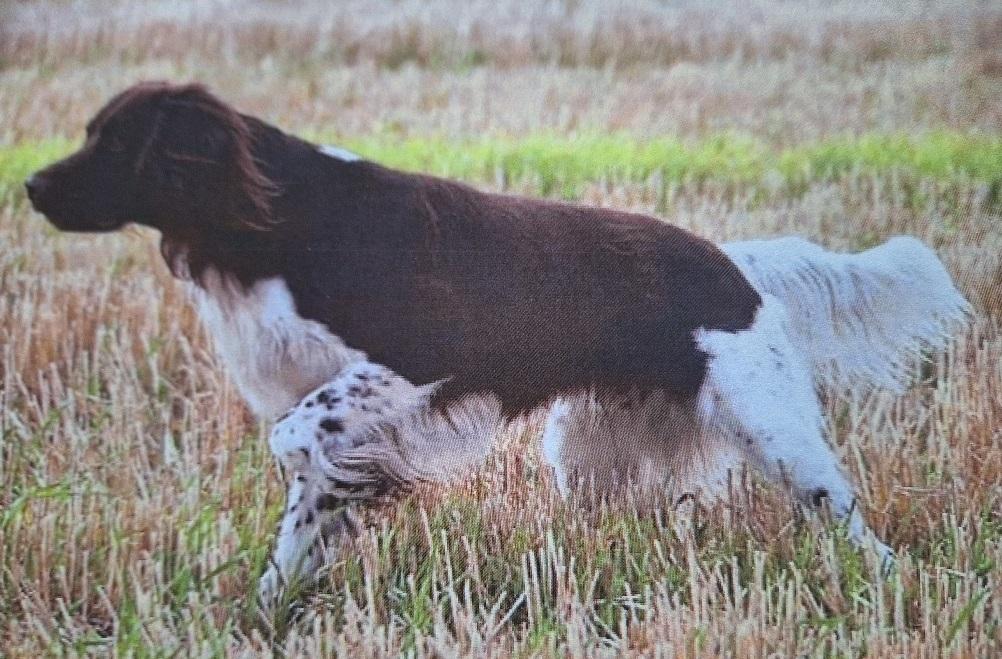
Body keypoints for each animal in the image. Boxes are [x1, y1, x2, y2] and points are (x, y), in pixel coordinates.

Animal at [27, 82, 969, 596]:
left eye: (114, 141)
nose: (31, 185)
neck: (280, 221)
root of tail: (736, 266)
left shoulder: (422, 359)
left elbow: (297, 435)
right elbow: (301, 523)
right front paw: (269, 612)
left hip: (774, 428)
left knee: (847, 519)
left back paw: (888, 588)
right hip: (589, 453)